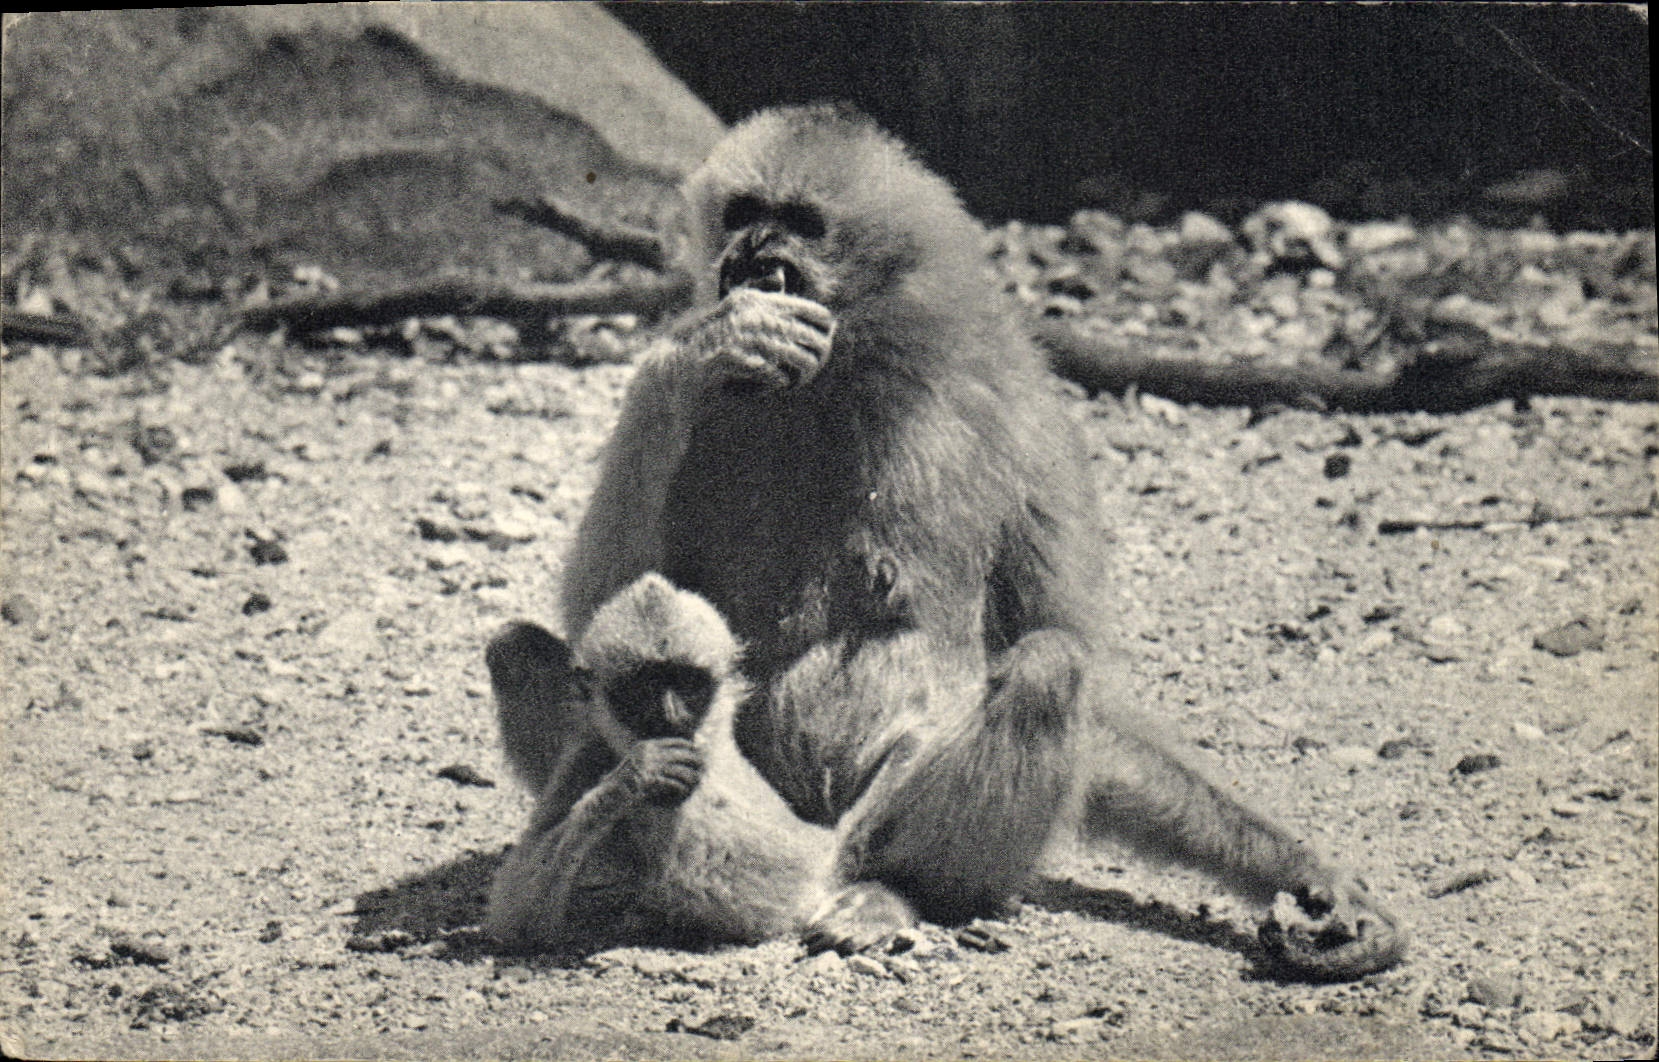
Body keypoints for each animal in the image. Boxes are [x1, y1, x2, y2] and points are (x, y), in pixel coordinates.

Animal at [484, 572, 915, 951]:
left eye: (688, 684)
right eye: (643, 689)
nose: (671, 714)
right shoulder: (589, 754)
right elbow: (514, 916)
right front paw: (637, 775)